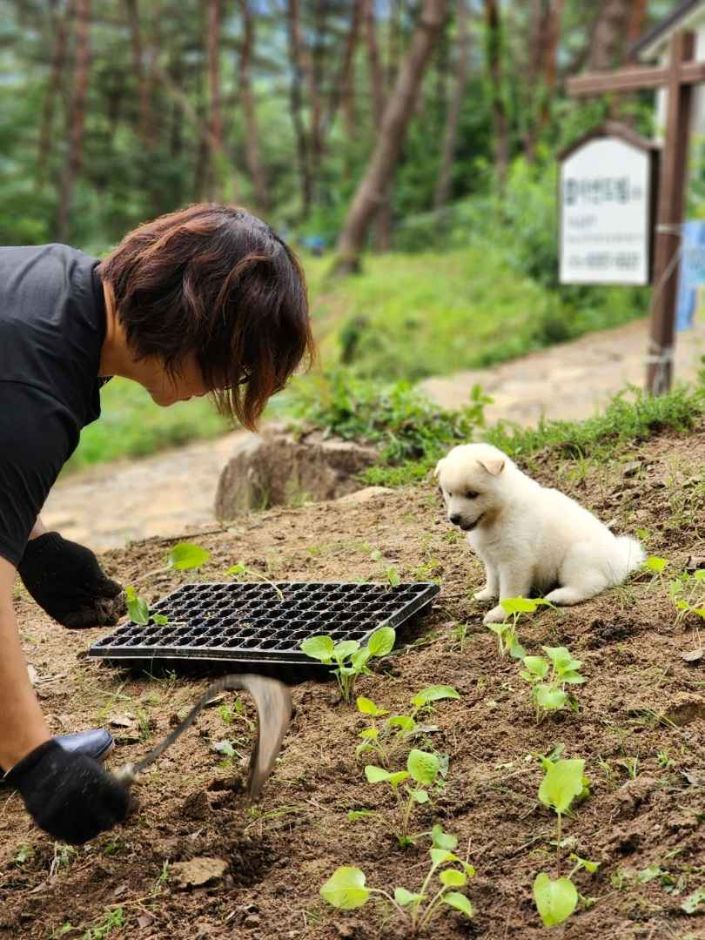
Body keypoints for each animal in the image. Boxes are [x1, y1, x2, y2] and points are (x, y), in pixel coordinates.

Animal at [438, 442, 648, 624]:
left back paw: (559, 596)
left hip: (576, 558)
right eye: (449, 493)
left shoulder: (515, 561)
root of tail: (622, 561)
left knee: (591, 583)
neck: (500, 512)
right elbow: (493, 579)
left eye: (472, 494)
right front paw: (486, 594)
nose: (454, 518)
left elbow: (509, 591)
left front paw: (500, 612)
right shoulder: (491, 558)